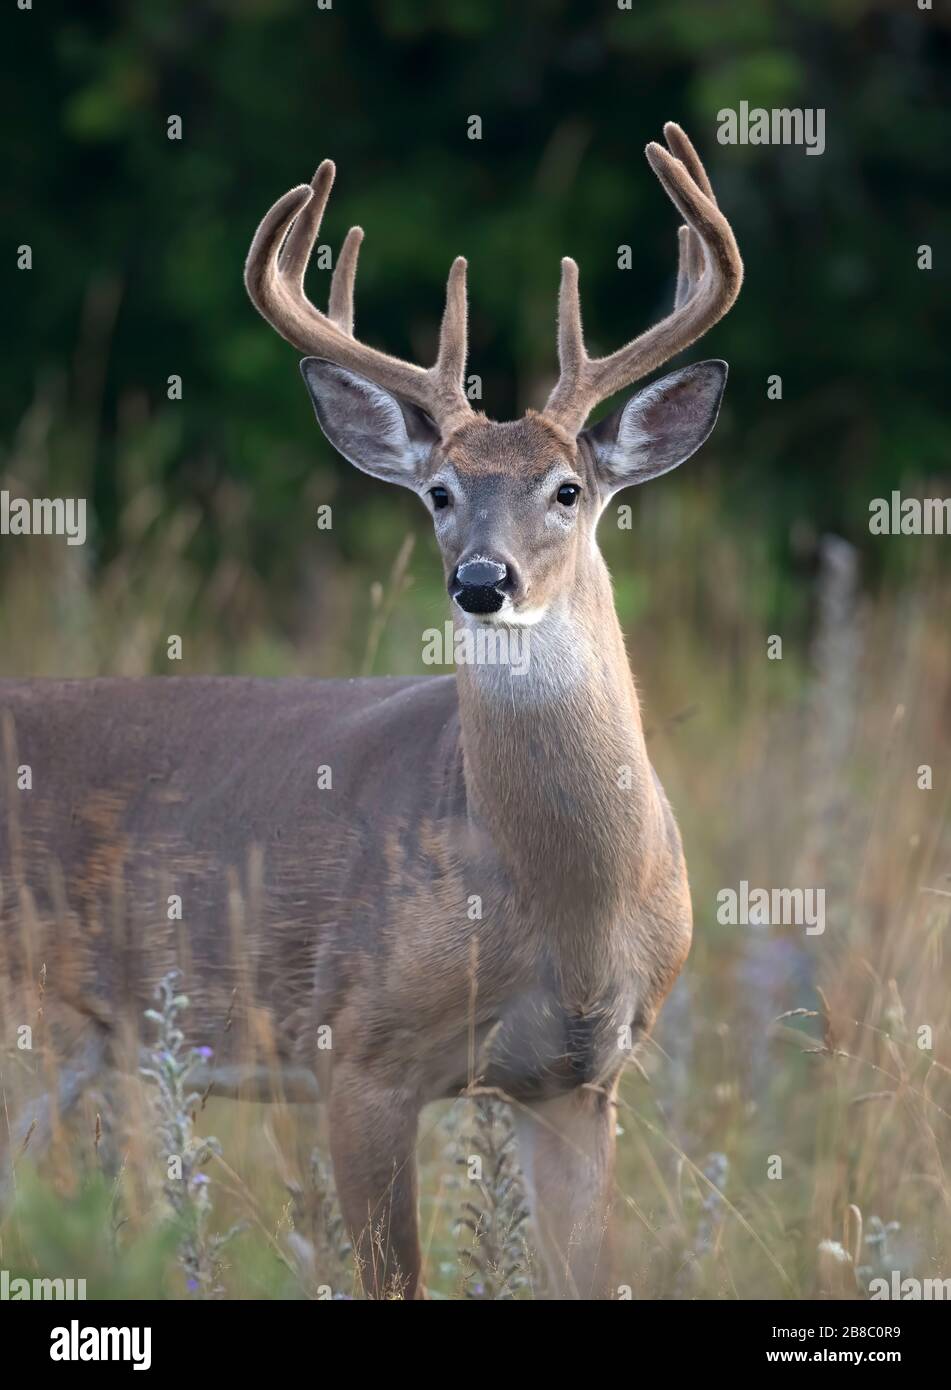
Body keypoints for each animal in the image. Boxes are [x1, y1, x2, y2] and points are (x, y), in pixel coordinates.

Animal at [0, 125, 739, 1295]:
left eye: (567, 490)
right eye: (438, 492)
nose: (481, 580)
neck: (561, 905)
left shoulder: (582, 1077)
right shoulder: (356, 1052)